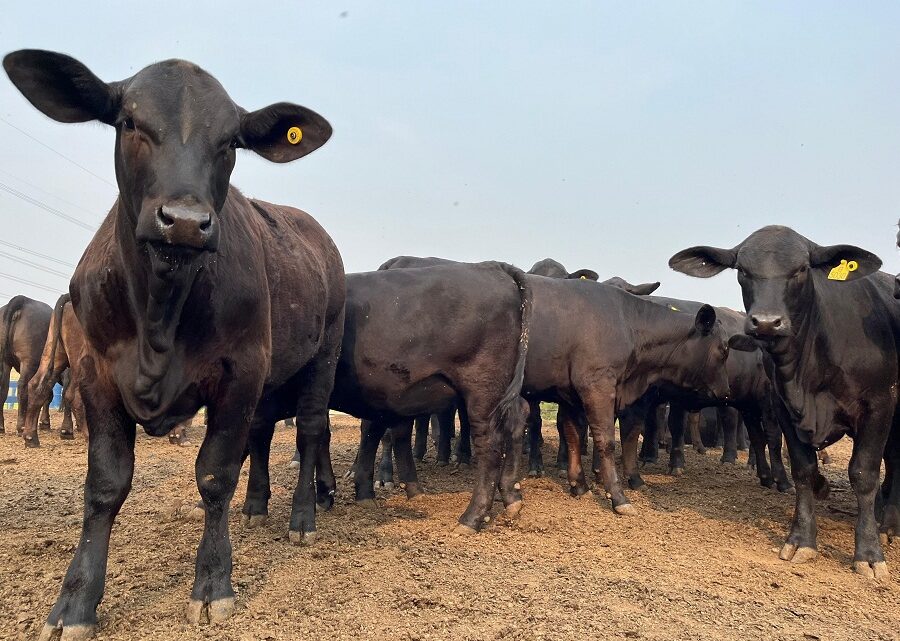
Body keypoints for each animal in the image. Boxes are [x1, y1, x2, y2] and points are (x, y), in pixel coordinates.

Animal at [3, 48, 346, 636]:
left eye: (231, 142)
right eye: (130, 122)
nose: (185, 222)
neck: (159, 317)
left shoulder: (241, 370)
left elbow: (215, 474)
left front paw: (213, 584)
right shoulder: (96, 373)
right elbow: (105, 485)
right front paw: (74, 603)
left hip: (321, 357)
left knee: (309, 430)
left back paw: (302, 515)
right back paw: (257, 506)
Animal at [672, 225, 896, 580]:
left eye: (802, 269)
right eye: (743, 270)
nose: (766, 322)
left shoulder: (879, 406)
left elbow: (863, 474)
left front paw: (870, 554)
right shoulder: (783, 409)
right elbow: (803, 470)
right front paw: (801, 538)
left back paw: (887, 524)